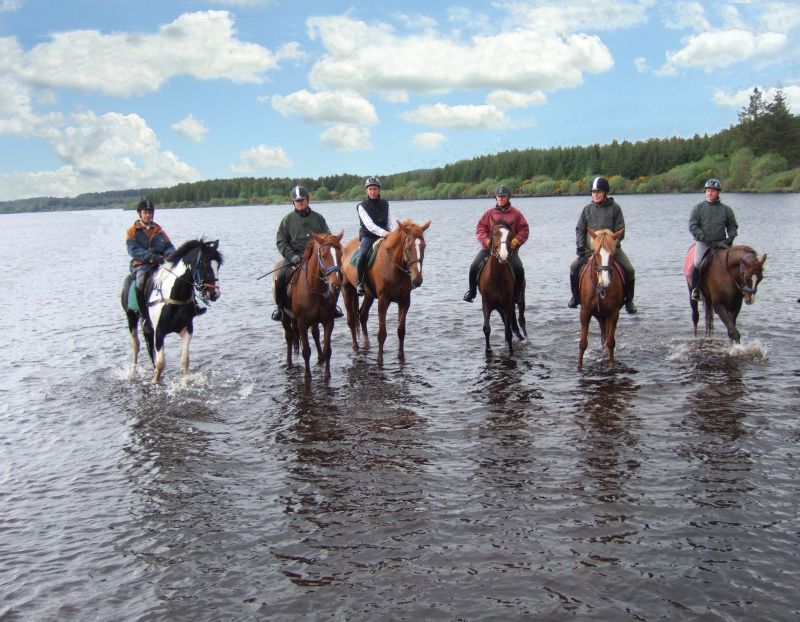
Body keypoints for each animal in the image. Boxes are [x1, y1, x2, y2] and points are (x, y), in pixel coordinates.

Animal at [119, 239, 220, 386]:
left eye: (218, 266)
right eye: (205, 265)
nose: (214, 294)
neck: (174, 296)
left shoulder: (187, 330)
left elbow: (185, 360)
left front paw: (186, 383)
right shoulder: (159, 332)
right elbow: (161, 363)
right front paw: (154, 381)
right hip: (131, 317)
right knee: (136, 345)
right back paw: (133, 373)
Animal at [278, 232, 344, 382]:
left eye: (340, 254)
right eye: (324, 256)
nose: (336, 285)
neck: (315, 288)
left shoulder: (328, 320)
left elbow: (327, 349)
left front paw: (327, 375)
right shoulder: (302, 323)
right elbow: (306, 351)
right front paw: (307, 376)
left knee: (315, 334)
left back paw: (320, 358)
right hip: (286, 317)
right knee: (289, 337)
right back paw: (289, 363)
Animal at [342, 219, 432, 366]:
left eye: (423, 246)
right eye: (408, 247)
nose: (417, 280)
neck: (394, 266)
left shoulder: (404, 301)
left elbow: (401, 331)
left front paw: (401, 356)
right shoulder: (383, 301)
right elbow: (382, 333)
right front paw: (380, 360)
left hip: (369, 295)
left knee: (362, 315)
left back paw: (366, 344)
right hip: (347, 290)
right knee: (351, 320)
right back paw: (355, 346)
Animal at [478, 223, 528, 356]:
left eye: (510, 236)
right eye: (494, 234)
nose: (503, 255)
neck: (496, 277)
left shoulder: (507, 304)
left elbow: (508, 330)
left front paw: (510, 353)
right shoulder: (486, 304)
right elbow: (486, 328)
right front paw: (488, 350)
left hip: (519, 299)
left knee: (521, 319)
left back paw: (525, 338)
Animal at [580, 232, 628, 372]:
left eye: (612, 254)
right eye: (596, 253)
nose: (605, 282)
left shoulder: (614, 313)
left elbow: (611, 342)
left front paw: (611, 366)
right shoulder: (585, 312)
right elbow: (583, 343)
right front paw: (579, 366)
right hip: (600, 315)